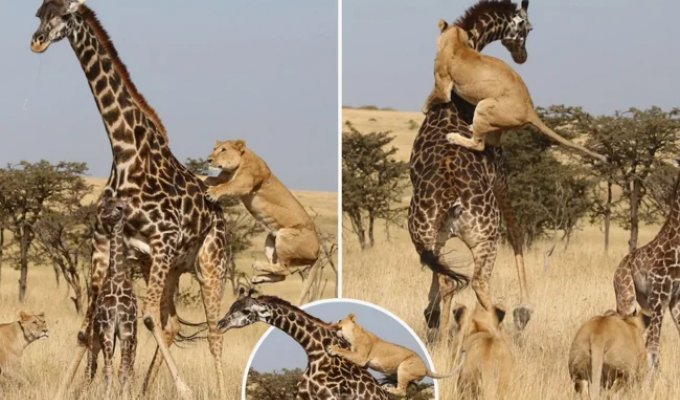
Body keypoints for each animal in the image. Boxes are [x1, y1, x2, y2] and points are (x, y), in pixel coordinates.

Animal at [30, 1, 231, 398]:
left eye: (65, 14)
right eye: (39, 13)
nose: (37, 41)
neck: (125, 151)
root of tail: (220, 215)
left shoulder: (163, 240)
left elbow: (148, 316)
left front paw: (184, 388)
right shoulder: (103, 242)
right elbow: (86, 326)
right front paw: (68, 389)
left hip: (209, 263)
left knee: (213, 332)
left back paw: (220, 390)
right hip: (170, 267)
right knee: (171, 324)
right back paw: (145, 388)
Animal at [218, 290, 391, 400]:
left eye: (246, 311)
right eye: (231, 306)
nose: (220, 324)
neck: (314, 351)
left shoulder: (331, 397)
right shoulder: (301, 396)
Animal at [408, 0, 533, 340]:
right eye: (528, 29)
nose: (523, 56)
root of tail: (452, 194)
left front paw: (431, 316)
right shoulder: (500, 175)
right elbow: (517, 231)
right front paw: (525, 309)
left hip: (426, 232)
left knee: (449, 278)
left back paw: (441, 332)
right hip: (484, 237)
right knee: (475, 282)